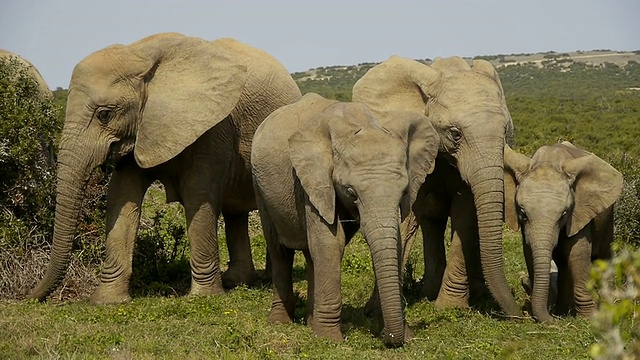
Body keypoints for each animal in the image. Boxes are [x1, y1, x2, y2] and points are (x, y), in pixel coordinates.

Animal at [27, 33, 302, 304]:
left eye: (104, 114)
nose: (28, 296)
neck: (140, 57)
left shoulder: (213, 126)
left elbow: (198, 194)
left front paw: (203, 297)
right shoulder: (141, 128)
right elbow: (122, 194)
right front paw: (107, 301)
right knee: (235, 212)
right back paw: (237, 281)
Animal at [251, 92, 440, 346]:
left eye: (403, 192)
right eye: (351, 192)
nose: (391, 338)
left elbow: (390, 241)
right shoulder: (312, 179)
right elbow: (331, 242)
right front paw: (329, 340)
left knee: (311, 254)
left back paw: (310, 322)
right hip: (259, 184)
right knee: (279, 250)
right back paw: (280, 322)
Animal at [352, 55, 524, 316]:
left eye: (506, 132)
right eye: (455, 133)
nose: (521, 314)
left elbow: (465, 212)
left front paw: (449, 308)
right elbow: (405, 217)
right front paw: (376, 312)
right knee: (431, 222)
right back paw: (428, 292)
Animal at [502, 142, 624, 322]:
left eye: (564, 214)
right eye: (523, 213)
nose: (551, 319)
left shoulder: (579, 210)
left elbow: (577, 253)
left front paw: (588, 318)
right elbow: (530, 252)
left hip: (608, 218)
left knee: (603, 255)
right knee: (563, 263)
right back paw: (563, 311)